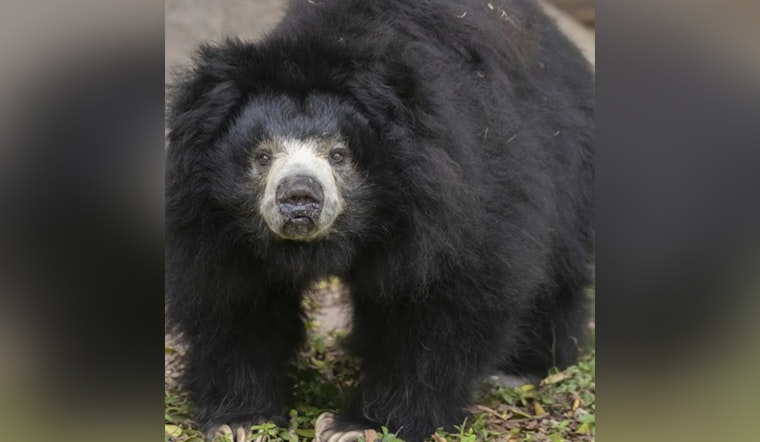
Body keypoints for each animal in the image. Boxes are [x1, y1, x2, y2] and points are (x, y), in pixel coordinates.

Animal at [165, 0, 594, 441]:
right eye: (262, 156)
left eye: (338, 154)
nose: (299, 196)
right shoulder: (210, 222)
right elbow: (235, 299)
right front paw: (240, 420)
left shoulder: (452, 200)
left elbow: (444, 303)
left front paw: (359, 425)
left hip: (568, 165)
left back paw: (521, 368)